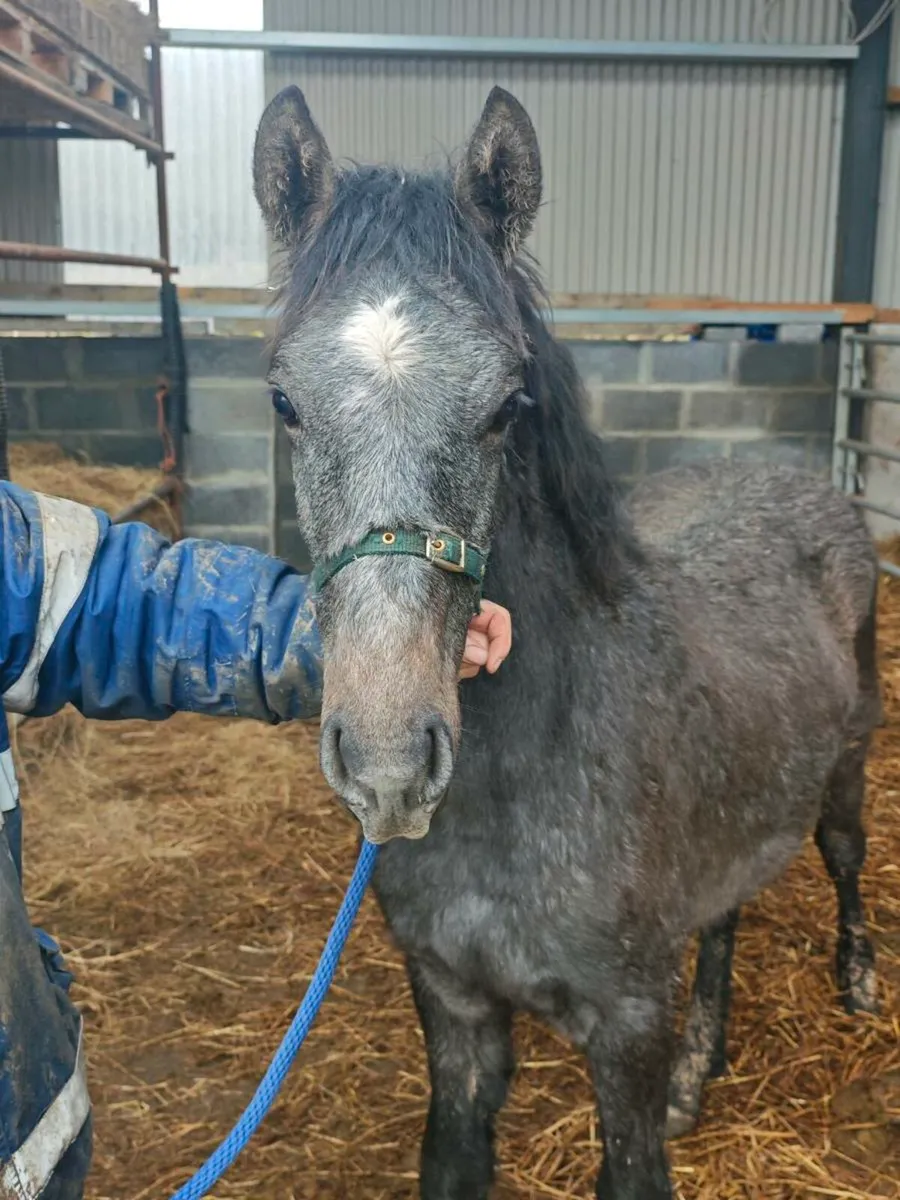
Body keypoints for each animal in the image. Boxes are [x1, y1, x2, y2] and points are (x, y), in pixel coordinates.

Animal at [252, 84, 881, 1200]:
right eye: (285, 400)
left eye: (509, 404)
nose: (387, 765)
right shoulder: (454, 1012)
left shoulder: (624, 1026)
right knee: (724, 916)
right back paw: (698, 1074)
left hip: (848, 765)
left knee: (845, 857)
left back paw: (856, 981)